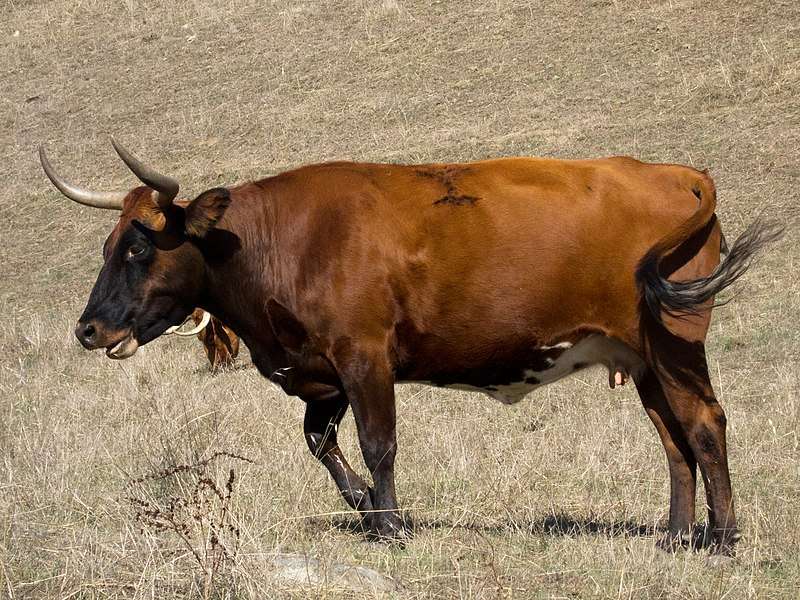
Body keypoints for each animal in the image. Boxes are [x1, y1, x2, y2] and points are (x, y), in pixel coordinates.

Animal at [39, 139, 780, 552]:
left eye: (138, 248)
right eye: (107, 244)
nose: (88, 329)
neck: (279, 242)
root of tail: (673, 172)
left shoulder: (365, 358)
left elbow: (378, 444)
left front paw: (391, 524)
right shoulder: (323, 371)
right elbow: (321, 444)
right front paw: (366, 508)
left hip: (675, 345)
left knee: (705, 425)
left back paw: (722, 539)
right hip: (640, 359)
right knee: (674, 441)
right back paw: (678, 535)